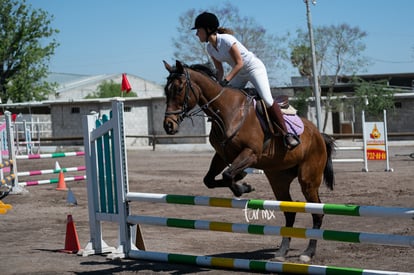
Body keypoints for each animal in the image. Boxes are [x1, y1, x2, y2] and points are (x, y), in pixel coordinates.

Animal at [163, 59, 336, 264]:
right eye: (166, 90)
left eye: (179, 89)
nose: (168, 125)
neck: (226, 111)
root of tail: (319, 135)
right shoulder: (222, 155)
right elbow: (211, 180)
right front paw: (242, 181)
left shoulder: (251, 153)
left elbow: (228, 175)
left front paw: (243, 187)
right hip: (279, 179)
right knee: (290, 212)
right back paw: (282, 251)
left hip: (308, 180)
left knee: (317, 212)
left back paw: (308, 253)